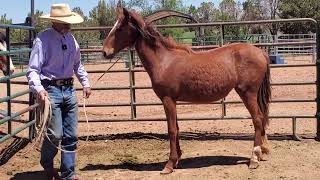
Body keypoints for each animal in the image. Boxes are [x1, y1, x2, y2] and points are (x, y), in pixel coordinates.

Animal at [102, 7, 270, 174]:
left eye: (120, 28)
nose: (104, 52)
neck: (164, 61)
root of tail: (261, 52)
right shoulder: (173, 101)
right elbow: (176, 128)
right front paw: (176, 159)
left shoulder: (167, 100)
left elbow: (171, 130)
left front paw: (169, 165)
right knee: (261, 119)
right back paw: (262, 152)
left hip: (248, 93)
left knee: (257, 119)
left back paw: (254, 159)